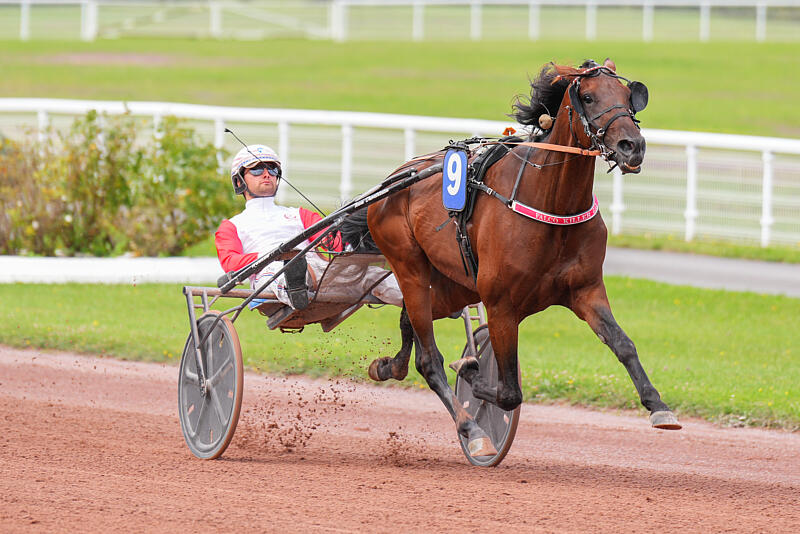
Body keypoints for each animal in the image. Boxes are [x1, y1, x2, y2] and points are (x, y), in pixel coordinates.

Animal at [361, 59, 681, 457]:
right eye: (589, 97)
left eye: (627, 95)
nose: (631, 145)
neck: (553, 205)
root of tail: (392, 181)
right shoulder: (501, 304)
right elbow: (509, 391)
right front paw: (471, 372)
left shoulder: (586, 290)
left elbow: (623, 345)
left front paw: (658, 405)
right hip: (411, 268)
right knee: (429, 359)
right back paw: (472, 430)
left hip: (453, 286)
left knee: (409, 324)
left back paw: (390, 366)